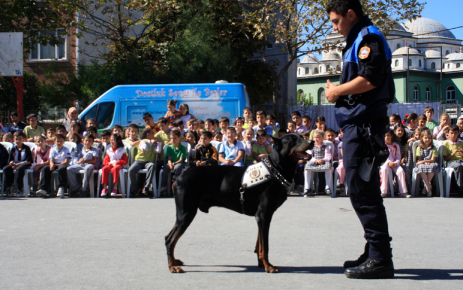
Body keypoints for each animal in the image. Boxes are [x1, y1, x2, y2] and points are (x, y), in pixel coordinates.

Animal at [165, 134, 314, 272]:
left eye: (302, 136)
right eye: (293, 139)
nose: (311, 141)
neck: (274, 170)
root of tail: (179, 177)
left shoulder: (260, 217)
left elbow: (259, 244)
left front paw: (262, 264)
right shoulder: (264, 215)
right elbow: (265, 245)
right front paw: (269, 267)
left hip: (184, 213)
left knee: (167, 237)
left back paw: (174, 261)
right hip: (186, 212)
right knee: (171, 240)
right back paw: (172, 266)